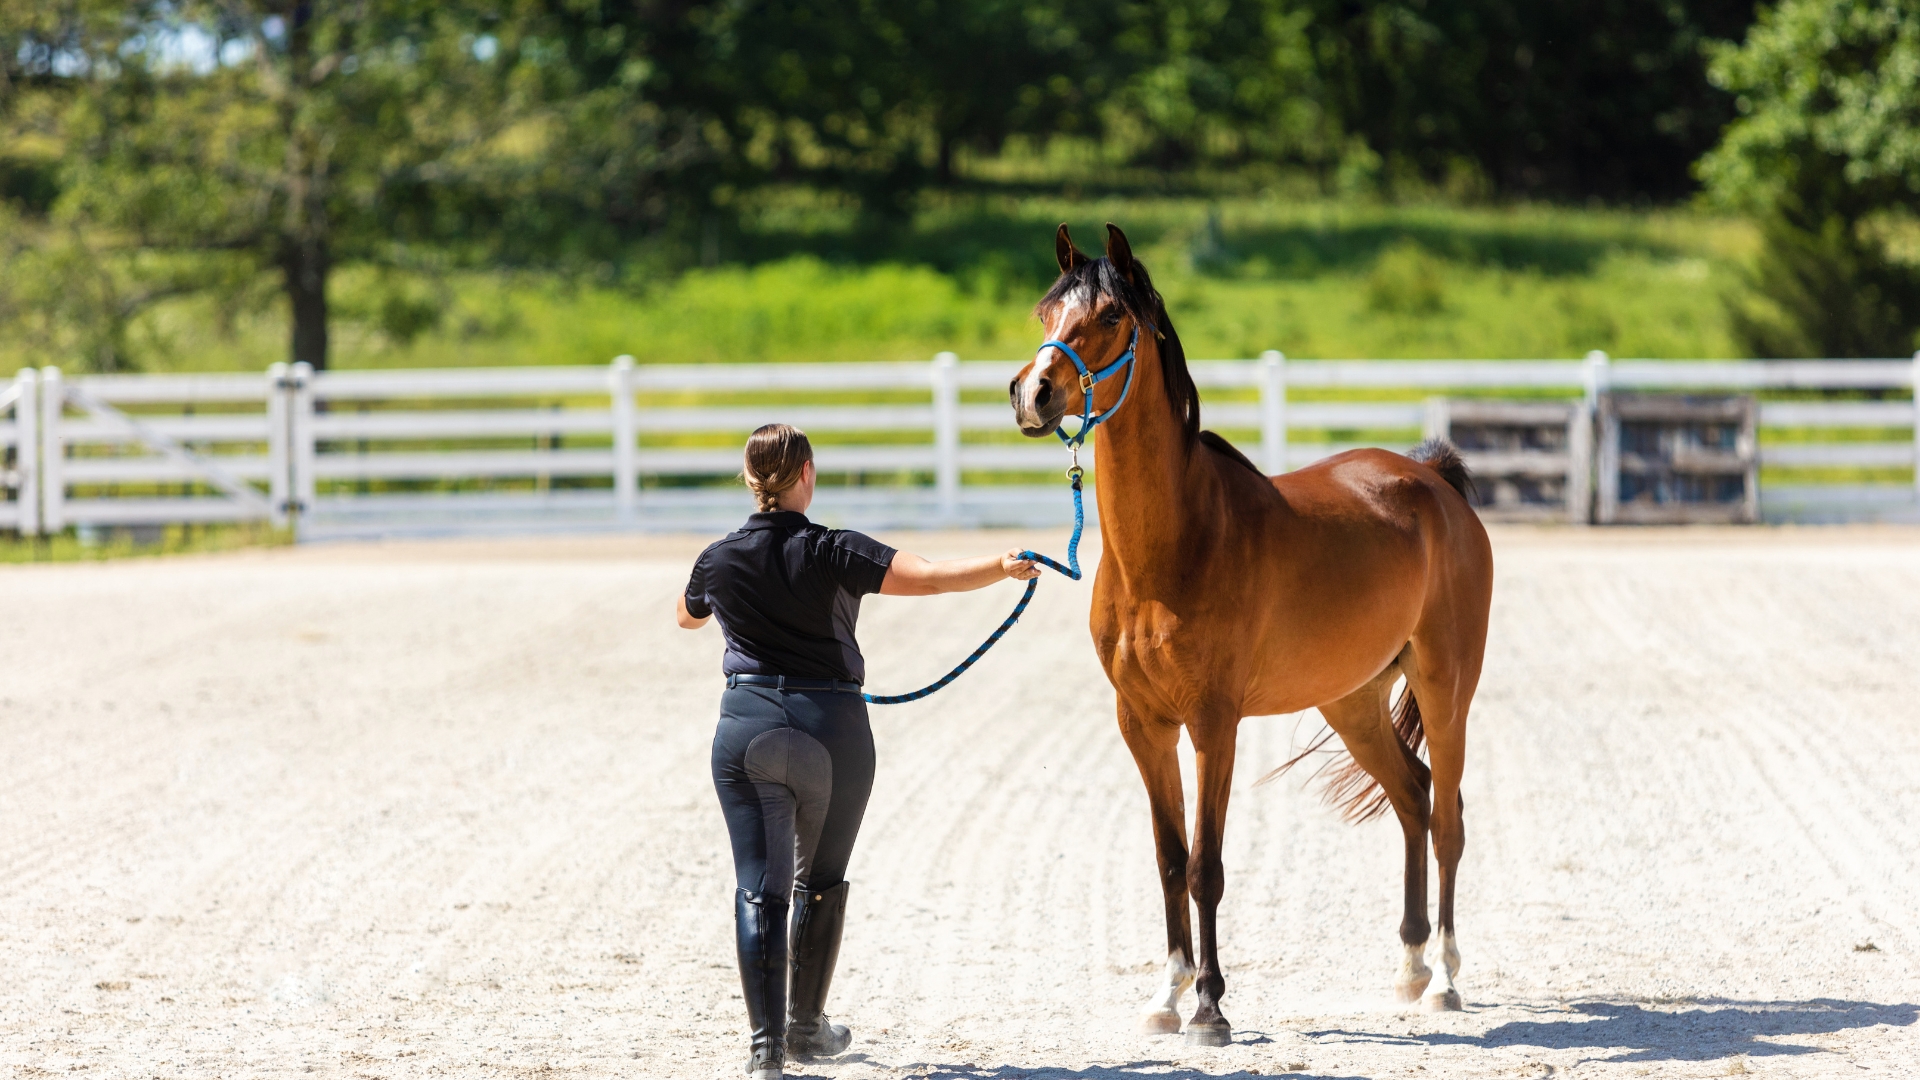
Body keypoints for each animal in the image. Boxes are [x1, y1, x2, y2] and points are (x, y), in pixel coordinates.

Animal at [1013, 222, 1489, 1037]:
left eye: (1110, 315)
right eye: (1047, 312)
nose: (1033, 392)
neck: (1170, 550)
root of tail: (1434, 482)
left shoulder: (1214, 723)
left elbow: (1207, 865)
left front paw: (1210, 1006)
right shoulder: (1142, 723)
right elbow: (1170, 859)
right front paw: (1166, 997)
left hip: (1444, 688)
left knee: (1449, 818)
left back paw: (1446, 981)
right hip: (1352, 699)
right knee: (1414, 796)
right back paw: (1409, 967)